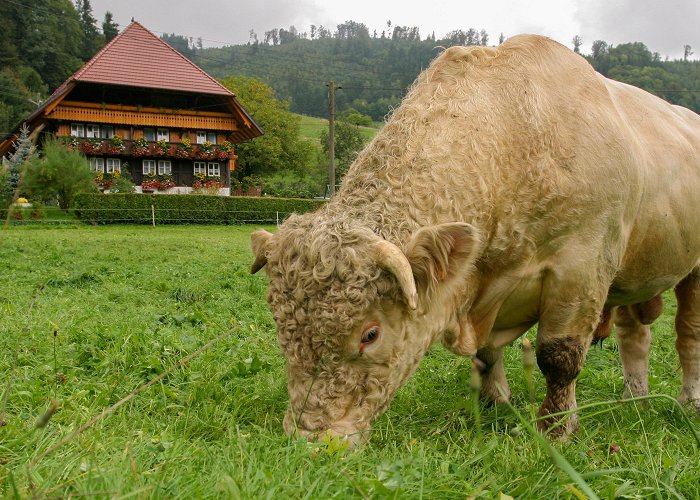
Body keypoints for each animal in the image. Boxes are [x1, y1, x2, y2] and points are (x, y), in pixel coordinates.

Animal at [250, 34, 700, 446]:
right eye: (283, 327)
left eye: (370, 334)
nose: (309, 440)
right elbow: (486, 354)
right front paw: (495, 404)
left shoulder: (581, 268)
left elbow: (559, 357)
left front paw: (555, 429)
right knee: (635, 336)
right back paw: (634, 400)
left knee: (688, 335)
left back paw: (688, 402)